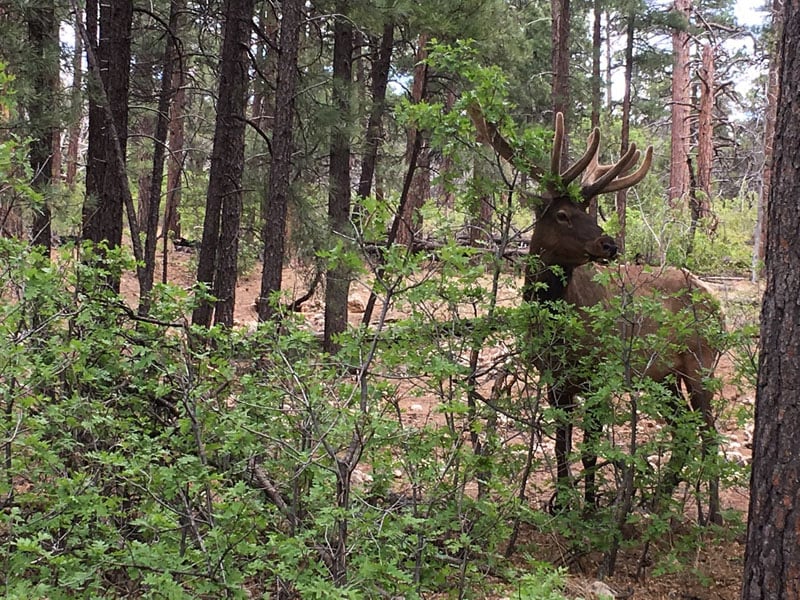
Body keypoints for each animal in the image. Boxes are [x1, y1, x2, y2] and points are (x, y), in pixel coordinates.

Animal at [468, 105, 724, 524]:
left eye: (588, 209)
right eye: (561, 214)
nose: (610, 244)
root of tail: (715, 303)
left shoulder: (599, 371)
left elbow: (590, 446)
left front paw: (588, 507)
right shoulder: (554, 378)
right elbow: (561, 443)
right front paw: (561, 502)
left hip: (700, 360)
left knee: (708, 430)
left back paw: (713, 513)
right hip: (664, 376)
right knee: (682, 431)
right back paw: (659, 501)